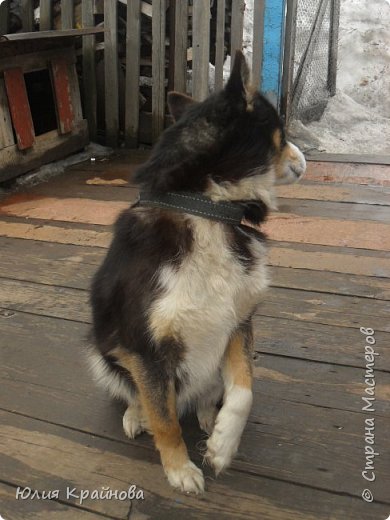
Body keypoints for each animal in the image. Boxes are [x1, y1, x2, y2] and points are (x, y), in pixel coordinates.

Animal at [87, 50, 304, 494]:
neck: (206, 209)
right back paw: (137, 416)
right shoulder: (146, 348)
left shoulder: (238, 323)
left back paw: (206, 415)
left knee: (205, 393)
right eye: (280, 130)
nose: (304, 161)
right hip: (101, 355)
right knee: (137, 395)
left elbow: (244, 392)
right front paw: (180, 470)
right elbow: (165, 419)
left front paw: (223, 445)